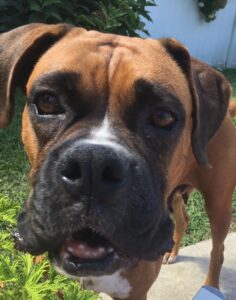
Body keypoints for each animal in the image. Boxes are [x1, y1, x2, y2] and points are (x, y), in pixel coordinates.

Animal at [0, 24, 236, 300]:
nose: (93, 164)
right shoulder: (45, 280)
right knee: (183, 218)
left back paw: (211, 285)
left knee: (218, 249)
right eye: (48, 102)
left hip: (219, 204)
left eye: (163, 116)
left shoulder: (134, 293)